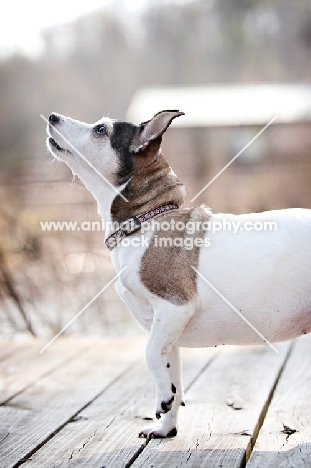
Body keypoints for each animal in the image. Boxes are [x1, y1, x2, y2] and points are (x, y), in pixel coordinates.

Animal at [45, 109, 311, 438]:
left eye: (101, 130)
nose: (52, 117)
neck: (146, 221)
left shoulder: (174, 308)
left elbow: (148, 355)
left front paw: (162, 400)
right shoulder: (163, 333)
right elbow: (171, 377)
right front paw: (166, 425)